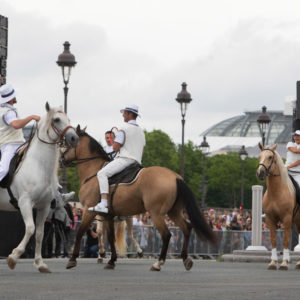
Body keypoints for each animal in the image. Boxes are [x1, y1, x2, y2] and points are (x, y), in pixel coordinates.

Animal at [0, 102, 78, 272]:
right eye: (56, 119)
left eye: (68, 119)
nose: (74, 138)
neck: (39, 165)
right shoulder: (25, 202)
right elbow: (30, 228)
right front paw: (13, 257)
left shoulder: (44, 206)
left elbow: (40, 234)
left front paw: (40, 263)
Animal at [63, 125, 218, 270]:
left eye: (69, 141)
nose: (62, 159)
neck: (94, 172)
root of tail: (175, 177)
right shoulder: (109, 215)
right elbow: (110, 237)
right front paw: (111, 260)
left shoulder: (89, 210)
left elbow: (80, 232)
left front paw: (73, 259)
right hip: (173, 212)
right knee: (186, 228)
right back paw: (185, 259)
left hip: (156, 213)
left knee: (166, 235)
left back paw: (158, 263)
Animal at [256, 142, 300, 270]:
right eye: (259, 156)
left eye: (270, 157)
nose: (260, 173)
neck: (276, 192)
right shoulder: (270, 219)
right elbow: (274, 240)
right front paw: (273, 262)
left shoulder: (287, 219)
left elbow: (285, 241)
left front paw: (284, 263)